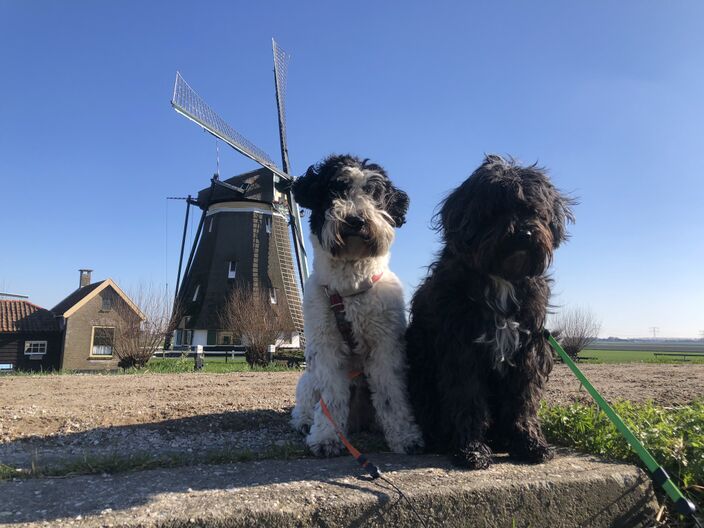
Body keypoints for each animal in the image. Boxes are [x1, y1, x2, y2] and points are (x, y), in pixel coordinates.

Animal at [290, 154, 424, 458]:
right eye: (335, 189)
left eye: (374, 193)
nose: (355, 219)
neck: (349, 289)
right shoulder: (326, 348)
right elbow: (331, 397)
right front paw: (326, 437)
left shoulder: (386, 346)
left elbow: (391, 395)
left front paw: (405, 435)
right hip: (307, 378)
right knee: (306, 401)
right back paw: (304, 422)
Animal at [404, 155, 576, 468]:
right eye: (496, 209)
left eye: (534, 210)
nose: (524, 233)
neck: (502, 278)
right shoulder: (461, 348)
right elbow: (467, 398)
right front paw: (470, 448)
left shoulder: (527, 348)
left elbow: (523, 400)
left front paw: (529, 443)